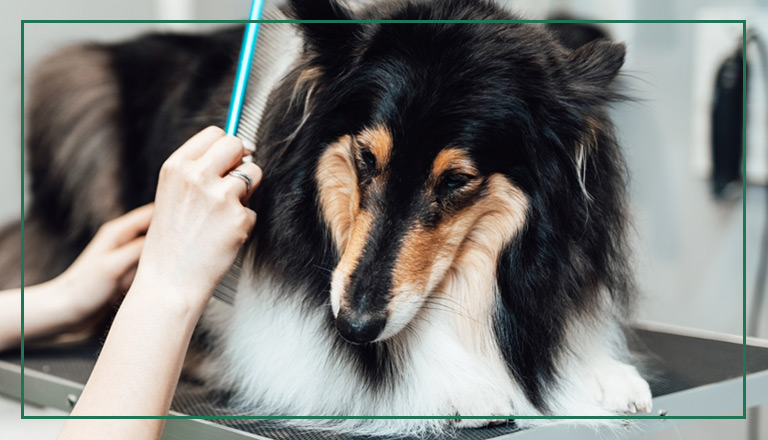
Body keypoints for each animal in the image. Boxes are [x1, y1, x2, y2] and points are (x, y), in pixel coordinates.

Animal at [1, 0, 656, 434]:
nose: (353, 327)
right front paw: (460, 385)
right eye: (365, 158)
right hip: (75, 90)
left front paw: (600, 373)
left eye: (457, 182)